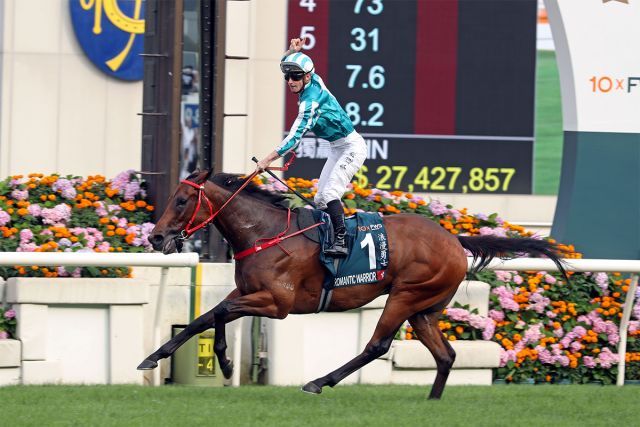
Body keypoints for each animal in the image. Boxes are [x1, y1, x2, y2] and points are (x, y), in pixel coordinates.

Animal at [139, 169, 564, 400]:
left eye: (181, 201)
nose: (156, 237)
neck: (265, 232)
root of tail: (454, 239)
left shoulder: (277, 304)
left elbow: (219, 313)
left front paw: (222, 362)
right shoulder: (247, 292)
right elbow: (208, 317)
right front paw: (165, 358)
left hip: (406, 295)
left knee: (377, 345)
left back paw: (318, 381)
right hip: (424, 309)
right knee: (445, 355)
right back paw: (432, 400)